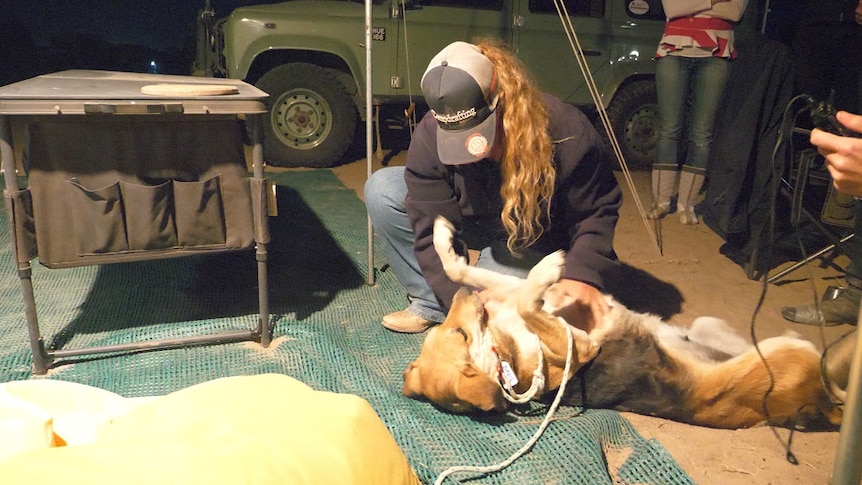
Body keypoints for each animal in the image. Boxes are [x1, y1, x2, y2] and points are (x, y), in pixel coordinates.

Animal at [404, 216, 852, 428]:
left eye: (450, 329)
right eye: (461, 334)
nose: (460, 300)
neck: (505, 351)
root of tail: (820, 408)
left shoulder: (510, 292)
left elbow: (462, 269)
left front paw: (443, 238)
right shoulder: (580, 345)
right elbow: (534, 301)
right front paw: (549, 266)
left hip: (710, 324)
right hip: (786, 355)